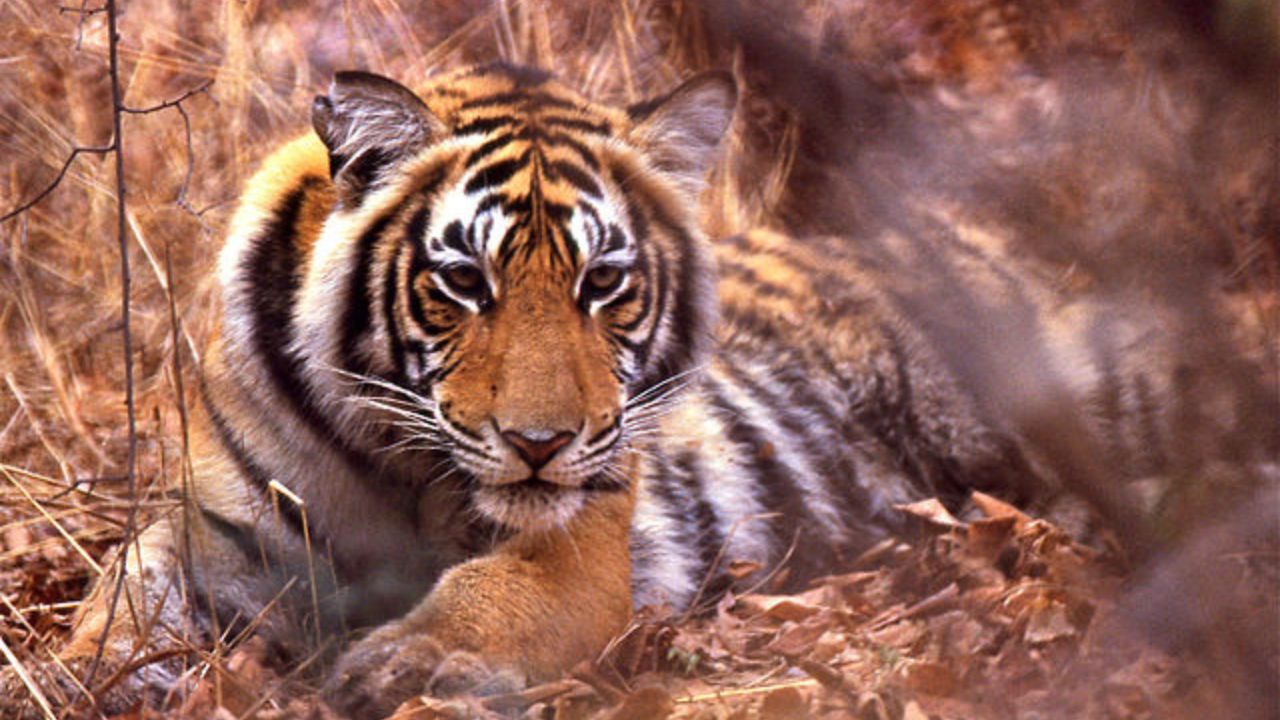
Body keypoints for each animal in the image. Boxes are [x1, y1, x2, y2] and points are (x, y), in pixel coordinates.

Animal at [3, 61, 1270, 719]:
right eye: (461, 281)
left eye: (603, 282)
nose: (539, 442)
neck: (389, 458)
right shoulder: (208, 538)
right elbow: (120, 599)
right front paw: (73, 676)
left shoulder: (574, 549)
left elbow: (490, 596)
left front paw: (412, 661)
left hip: (1096, 390)